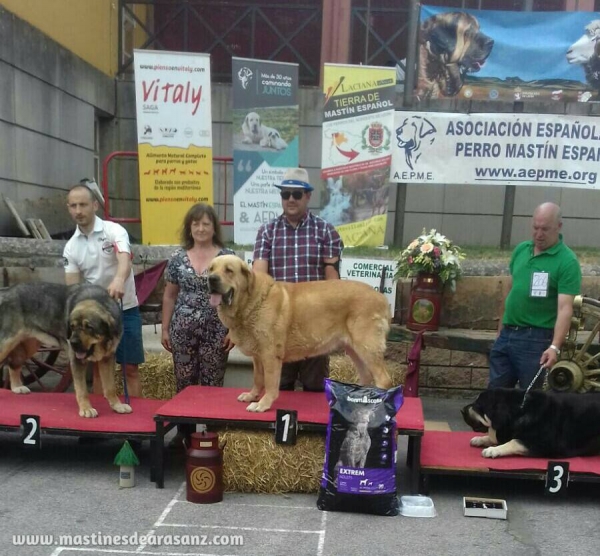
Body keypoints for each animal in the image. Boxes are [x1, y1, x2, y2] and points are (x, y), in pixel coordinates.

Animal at [207, 254, 394, 410]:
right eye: (211, 269)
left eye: (229, 270)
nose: (211, 279)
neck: (250, 302)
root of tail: (382, 297)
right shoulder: (258, 356)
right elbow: (258, 379)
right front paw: (252, 396)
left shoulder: (270, 355)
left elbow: (270, 382)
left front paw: (263, 404)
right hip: (354, 349)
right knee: (366, 376)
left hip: (366, 346)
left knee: (383, 379)